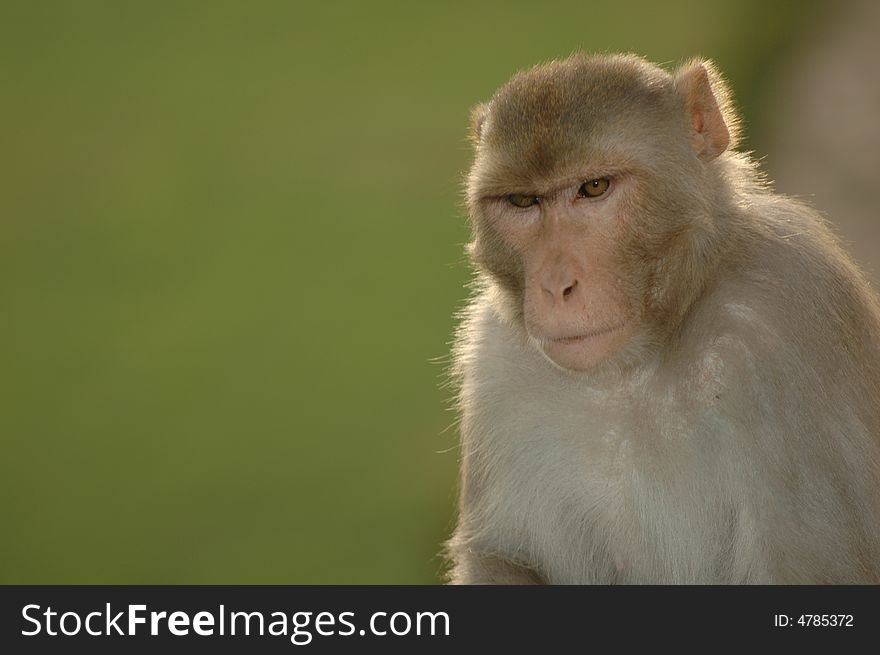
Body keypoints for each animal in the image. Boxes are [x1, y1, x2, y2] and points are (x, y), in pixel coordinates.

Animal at [446, 52, 880, 584]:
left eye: (594, 187)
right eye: (523, 202)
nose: (554, 285)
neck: (636, 365)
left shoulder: (789, 308)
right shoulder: (496, 360)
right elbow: (503, 557)